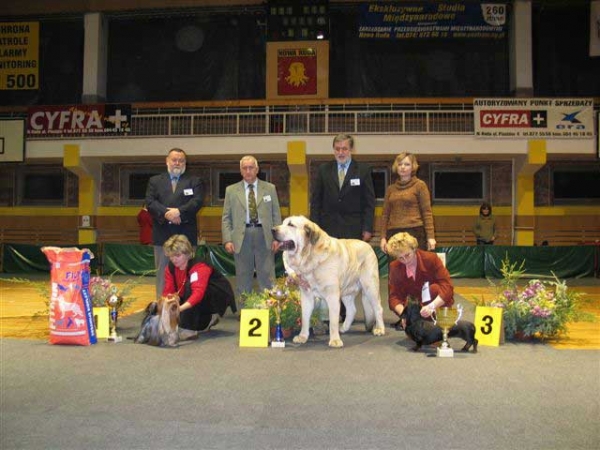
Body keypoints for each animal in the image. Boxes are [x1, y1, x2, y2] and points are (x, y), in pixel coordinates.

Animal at [272, 215, 384, 348]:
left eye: (291, 225)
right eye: (282, 223)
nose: (273, 230)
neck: (309, 255)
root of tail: (369, 245)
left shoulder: (333, 295)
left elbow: (333, 321)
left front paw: (335, 340)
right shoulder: (306, 296)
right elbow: (305, 318)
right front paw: (303, 336)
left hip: (370, 286)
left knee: (378, 308)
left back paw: (380, 329)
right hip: (347, 292)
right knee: (352, 310)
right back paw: (344, 328)